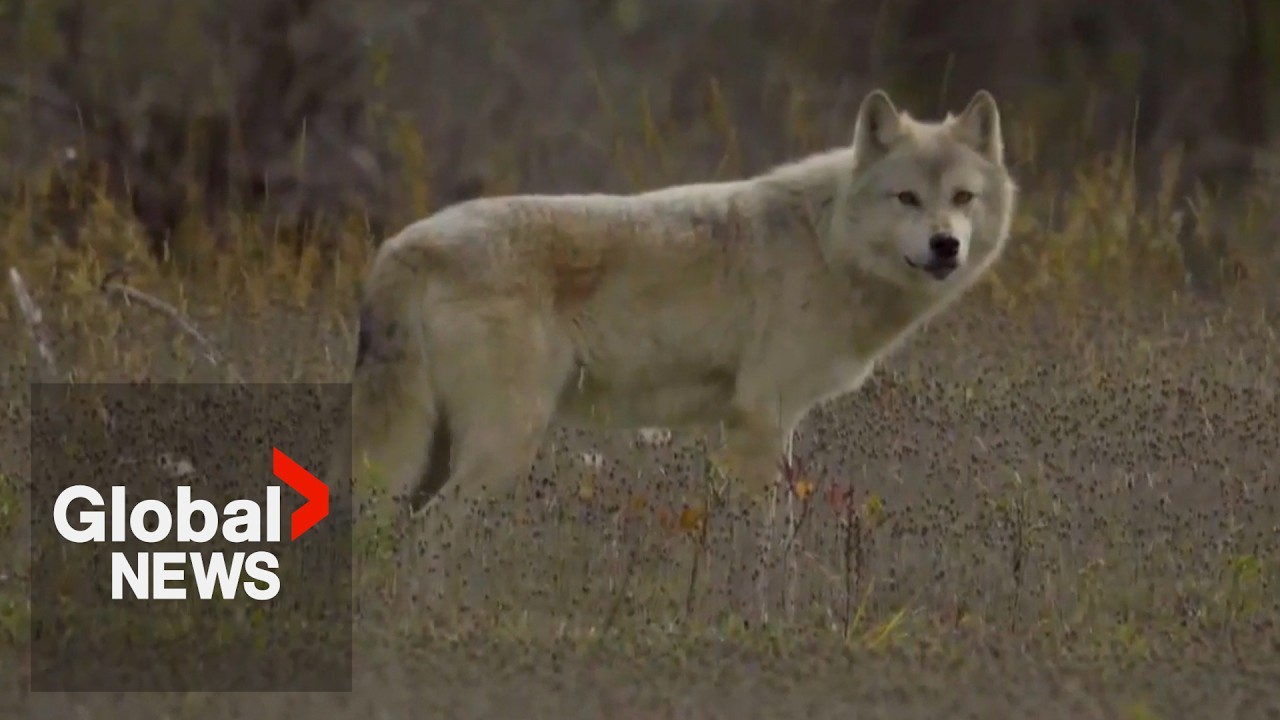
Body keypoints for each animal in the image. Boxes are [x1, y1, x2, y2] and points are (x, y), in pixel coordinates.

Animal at [332, 88, 1017, 577]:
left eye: (963, 197)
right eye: (907, 198)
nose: (946, 245)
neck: (825, 245)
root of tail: (400, 247)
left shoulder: (767, 423)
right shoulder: (760, 420)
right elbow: (772, 543)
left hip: (439, 452)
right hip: (501, 447)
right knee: (426, 540)